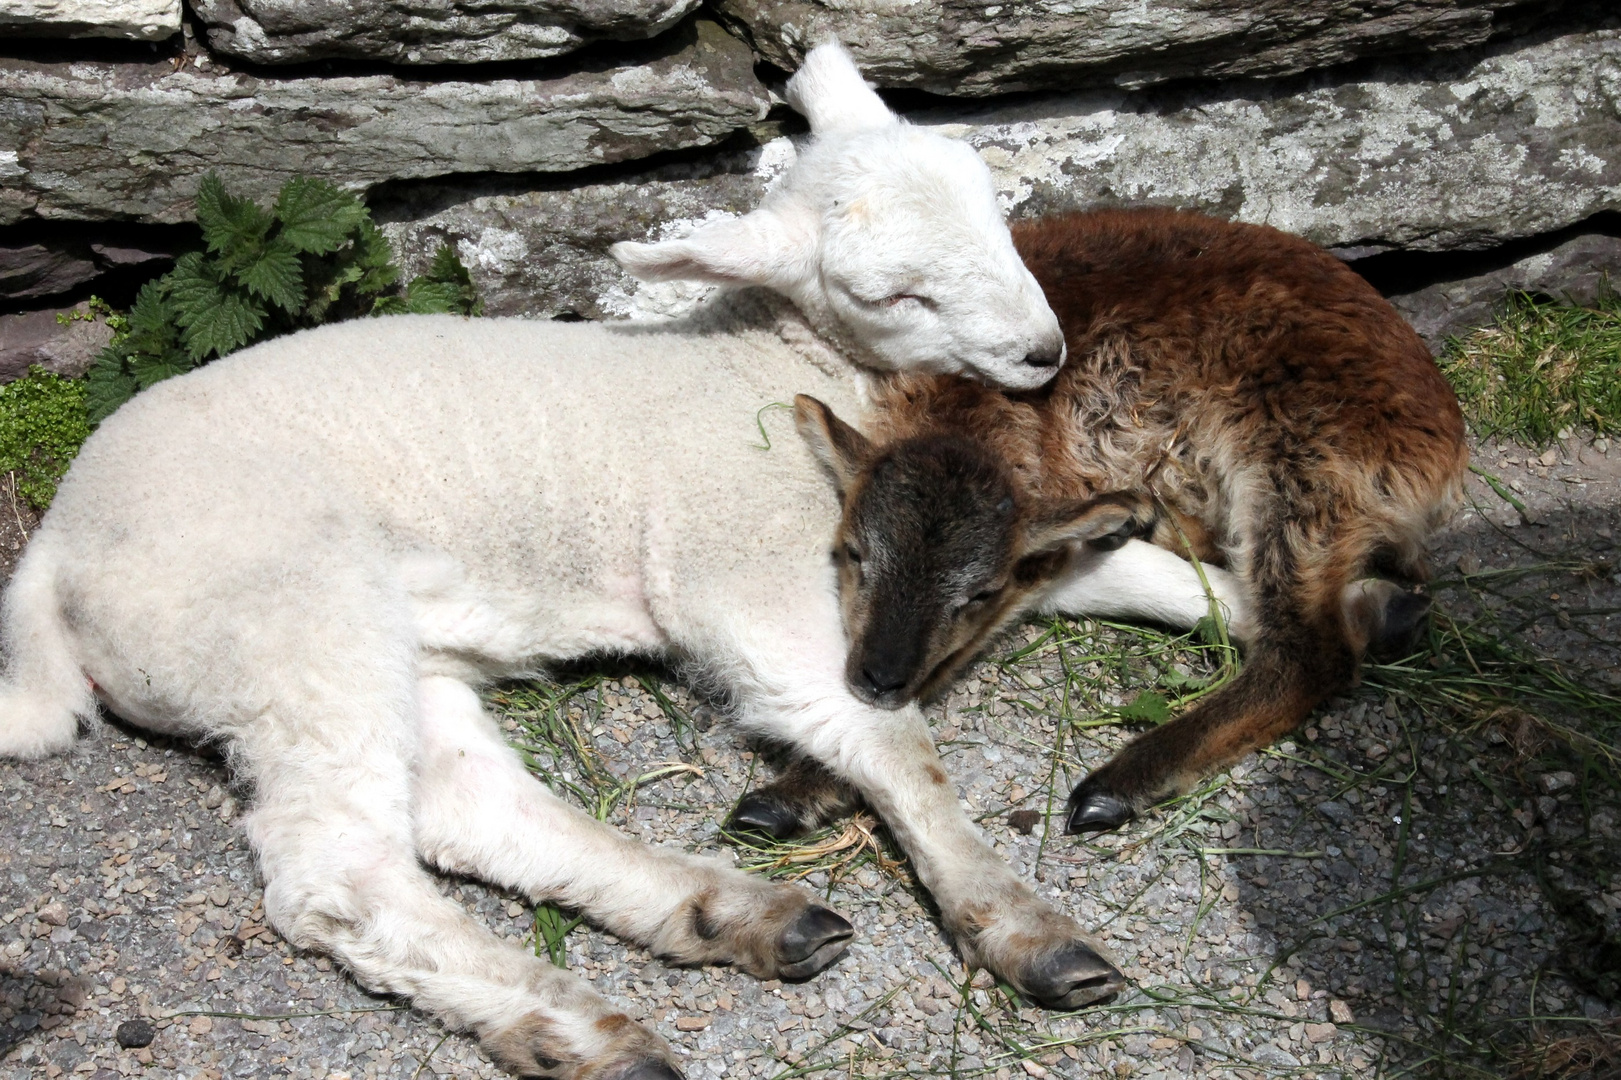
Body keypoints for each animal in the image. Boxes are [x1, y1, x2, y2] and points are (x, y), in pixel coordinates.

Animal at [0, 42, 1251, 1076]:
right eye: (895, 292)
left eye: (995, 211)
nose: (1044, 353)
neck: (761, 364)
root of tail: (53, 553)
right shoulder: (743, 567)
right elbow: (887, 738)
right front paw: (1020, 927)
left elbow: (1120, 570)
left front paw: (1248, 605)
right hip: (280, 605)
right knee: (339, 875)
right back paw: (580, 1031)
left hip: (371, 643)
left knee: (459, 806)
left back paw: (733, 921)